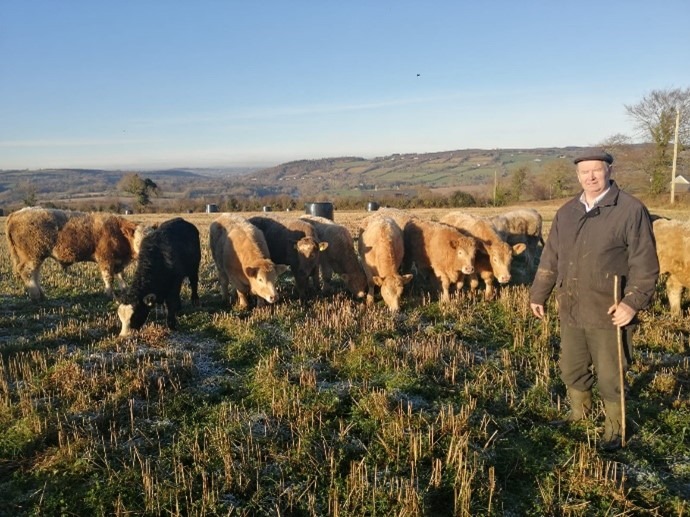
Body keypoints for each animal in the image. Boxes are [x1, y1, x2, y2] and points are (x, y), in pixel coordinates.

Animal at [6, 206, 150, 300]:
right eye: (139, 241)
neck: (118, 232)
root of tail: (16, 213)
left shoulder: (118, 261)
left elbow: (121, 276)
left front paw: (125, 291)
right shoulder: (106, 259)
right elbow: (109, 277)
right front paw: (111, 295)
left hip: (36, 256)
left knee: (35, 273)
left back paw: (41, 294)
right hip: (33, 255)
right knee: (27, 272)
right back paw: (36, 295)